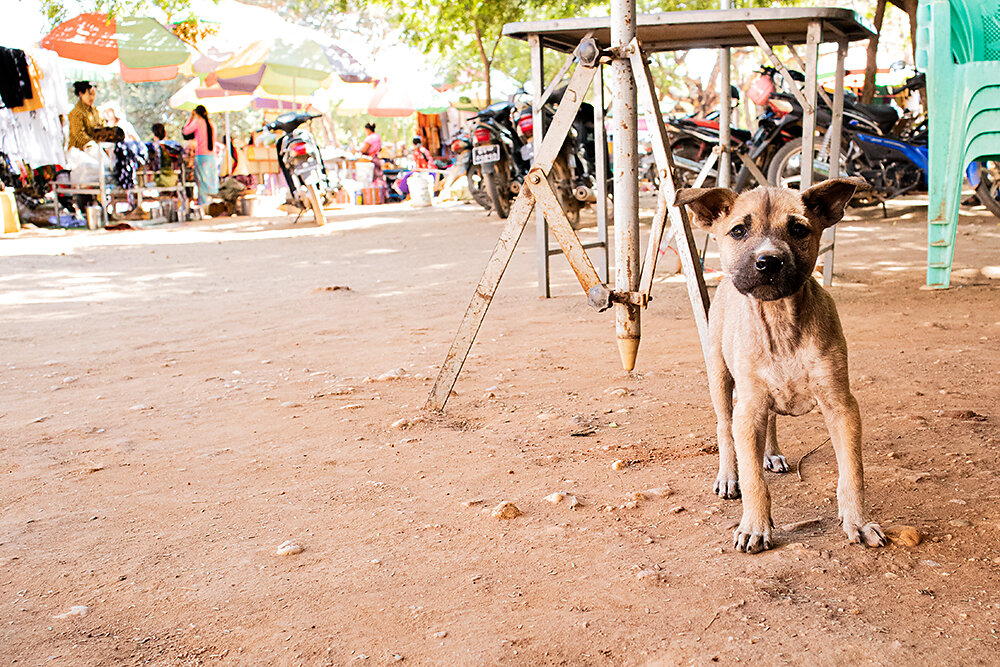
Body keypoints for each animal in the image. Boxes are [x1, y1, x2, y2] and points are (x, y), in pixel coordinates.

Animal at [676, 179, 888, 552]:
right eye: (739, 231)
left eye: (798, 229)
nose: (768, 262)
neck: (779, 322)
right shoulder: (747, 410)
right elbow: (753, 479)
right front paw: (755, 525)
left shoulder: (842, 406)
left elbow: (853, 473)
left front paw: (859, 522)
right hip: (719, 375)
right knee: (724, 427)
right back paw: (728, 475)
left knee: (771, 419)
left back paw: (771, 453)